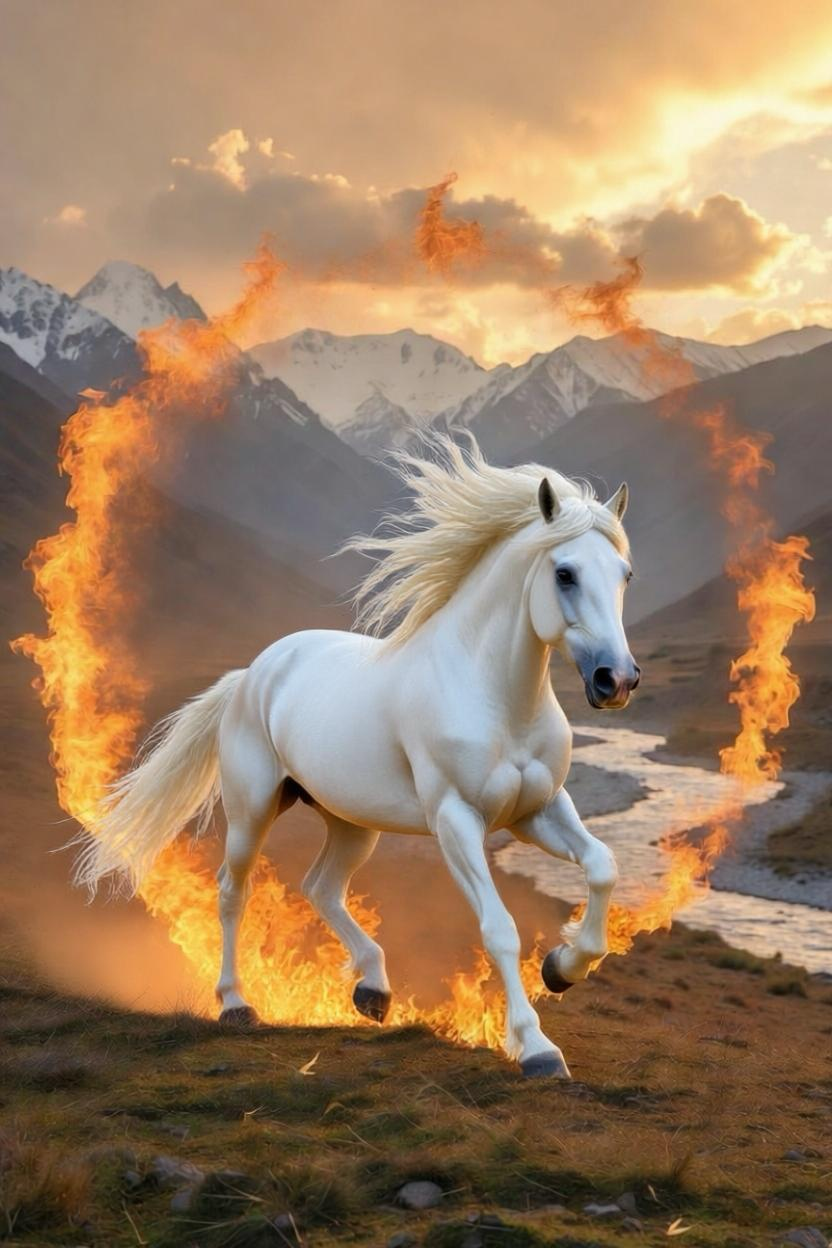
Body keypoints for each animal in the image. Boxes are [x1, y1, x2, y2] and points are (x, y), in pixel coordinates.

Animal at [76, 437, 640, 1078]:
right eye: (565, 573)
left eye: (624, 574)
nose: (616, 681)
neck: (496, 697)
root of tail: (254, 672)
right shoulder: (456, 821)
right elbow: (499, 928)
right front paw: (537, 1047)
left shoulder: (537, 811)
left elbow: (602, 867)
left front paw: (563, 967)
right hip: (253, 809)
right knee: (231, 891)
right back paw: (236, 1004)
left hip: (350, 822)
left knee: (321, 887)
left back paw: (373, 990)